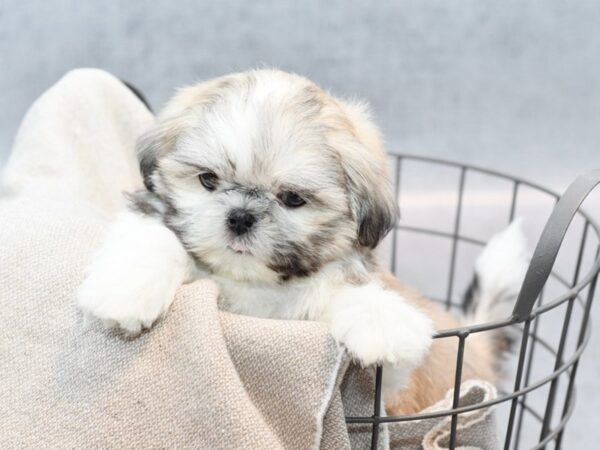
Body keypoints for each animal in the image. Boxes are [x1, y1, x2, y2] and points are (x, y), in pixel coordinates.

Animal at [77, 68, 528, 414]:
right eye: (208, 179)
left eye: (292, 198)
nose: (240, 217)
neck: (257, 285)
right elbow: (154, 237)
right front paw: (127, 289)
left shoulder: (388, 395)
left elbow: (356, 298)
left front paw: (381, 321)